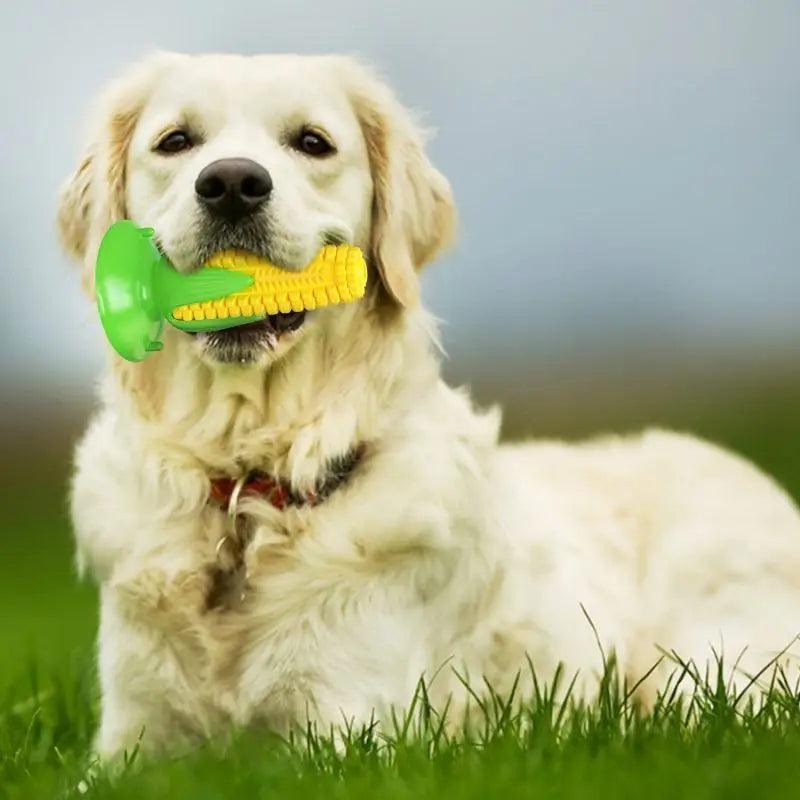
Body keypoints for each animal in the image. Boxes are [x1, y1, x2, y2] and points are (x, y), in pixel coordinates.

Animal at [59, 54, 800, 756]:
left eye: (313, 142)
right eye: (176, 141)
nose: (233, 184)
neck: (249, 490)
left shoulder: (350, 729)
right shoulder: (131, 740)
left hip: (705, 673)